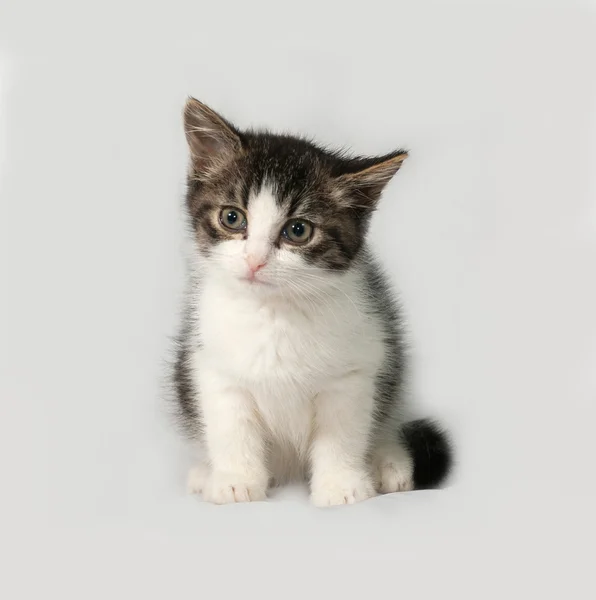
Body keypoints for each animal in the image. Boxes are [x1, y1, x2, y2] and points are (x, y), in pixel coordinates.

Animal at [172, 98, 452, 506]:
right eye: (231, 218)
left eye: (298, 230)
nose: (255, 260)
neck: (275, 311)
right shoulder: (212, 365)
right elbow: (230, 426)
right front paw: (236, 481)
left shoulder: (356, 368)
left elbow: (342, 432)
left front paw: (340, 485)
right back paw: (203, 473)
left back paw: (388, 464)